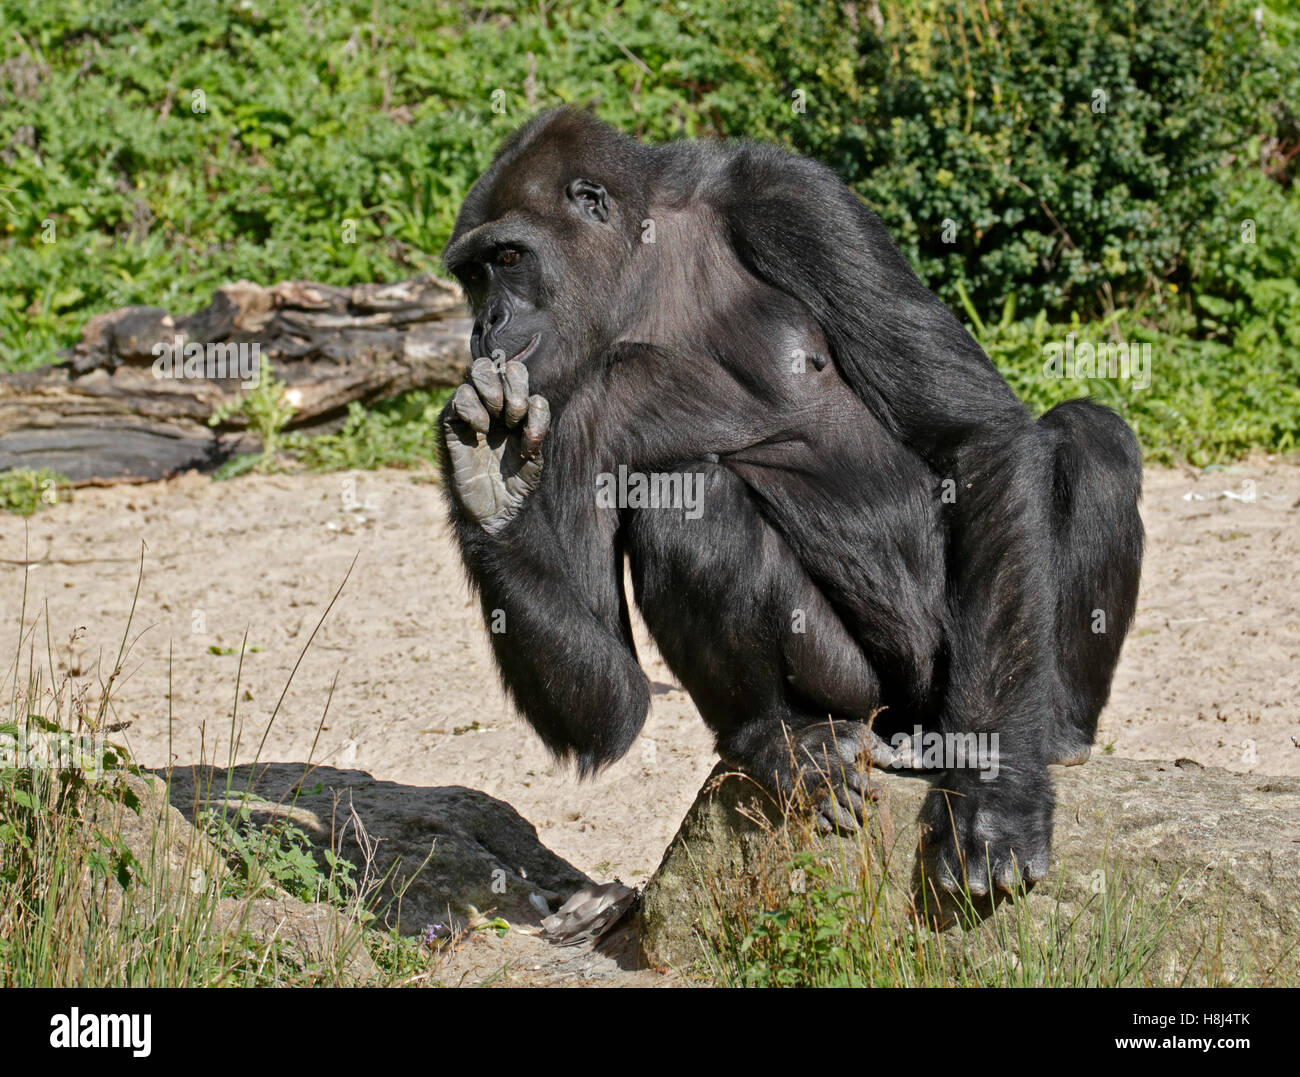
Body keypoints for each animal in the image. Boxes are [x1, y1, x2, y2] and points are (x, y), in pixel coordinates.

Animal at [441, 111, 1144, 900]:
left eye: (507, 257)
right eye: (471, 276)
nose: (483, 324)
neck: (643, 271)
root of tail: (909, 728)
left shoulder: (794, 197)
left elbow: (975, 438)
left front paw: (994, 795)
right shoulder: (551, 389)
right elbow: (608, 708)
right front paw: (490, 489)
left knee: (1090, 436)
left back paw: (1054, 732)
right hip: (865, 706)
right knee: (688, 502)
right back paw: (780, 740)